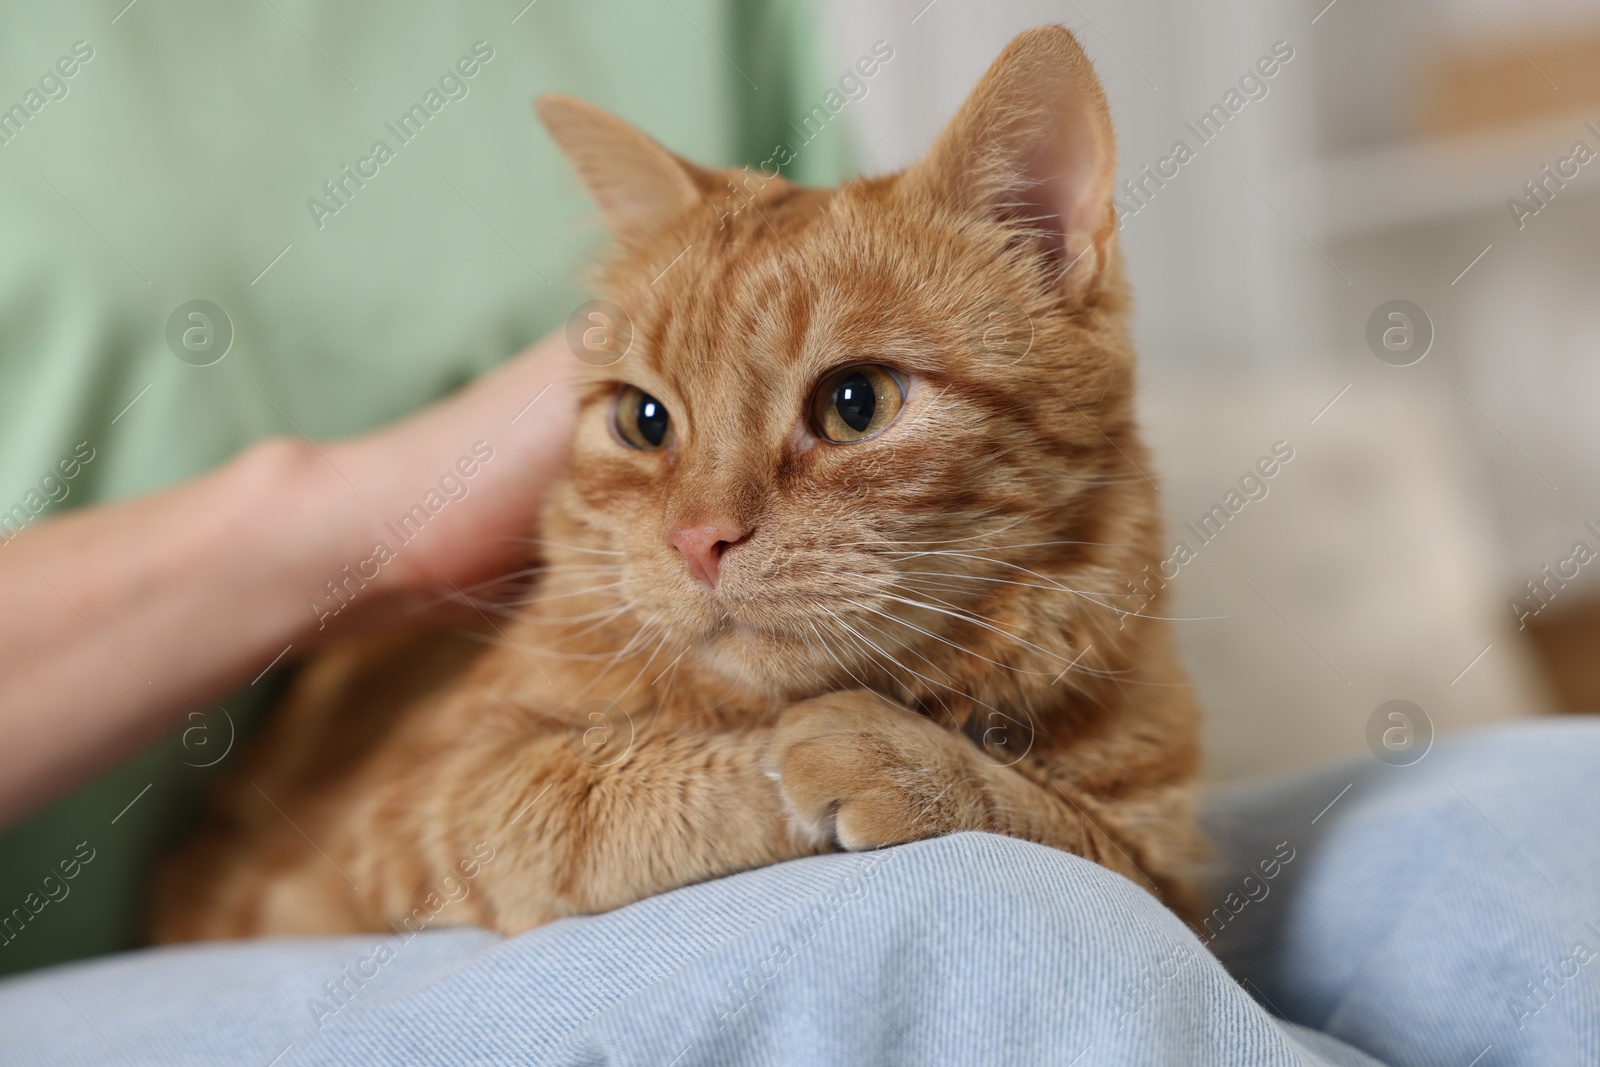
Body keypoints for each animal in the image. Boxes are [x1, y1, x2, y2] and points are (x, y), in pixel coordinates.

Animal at [150, 24, 1203, 940]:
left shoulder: (1168, 871)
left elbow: (1062, 822)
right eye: (643, 420)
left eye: (856, 403)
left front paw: (910, 759)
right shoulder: (398, 808)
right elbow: (566, 788)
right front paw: (795, 757)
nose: (698, 539)